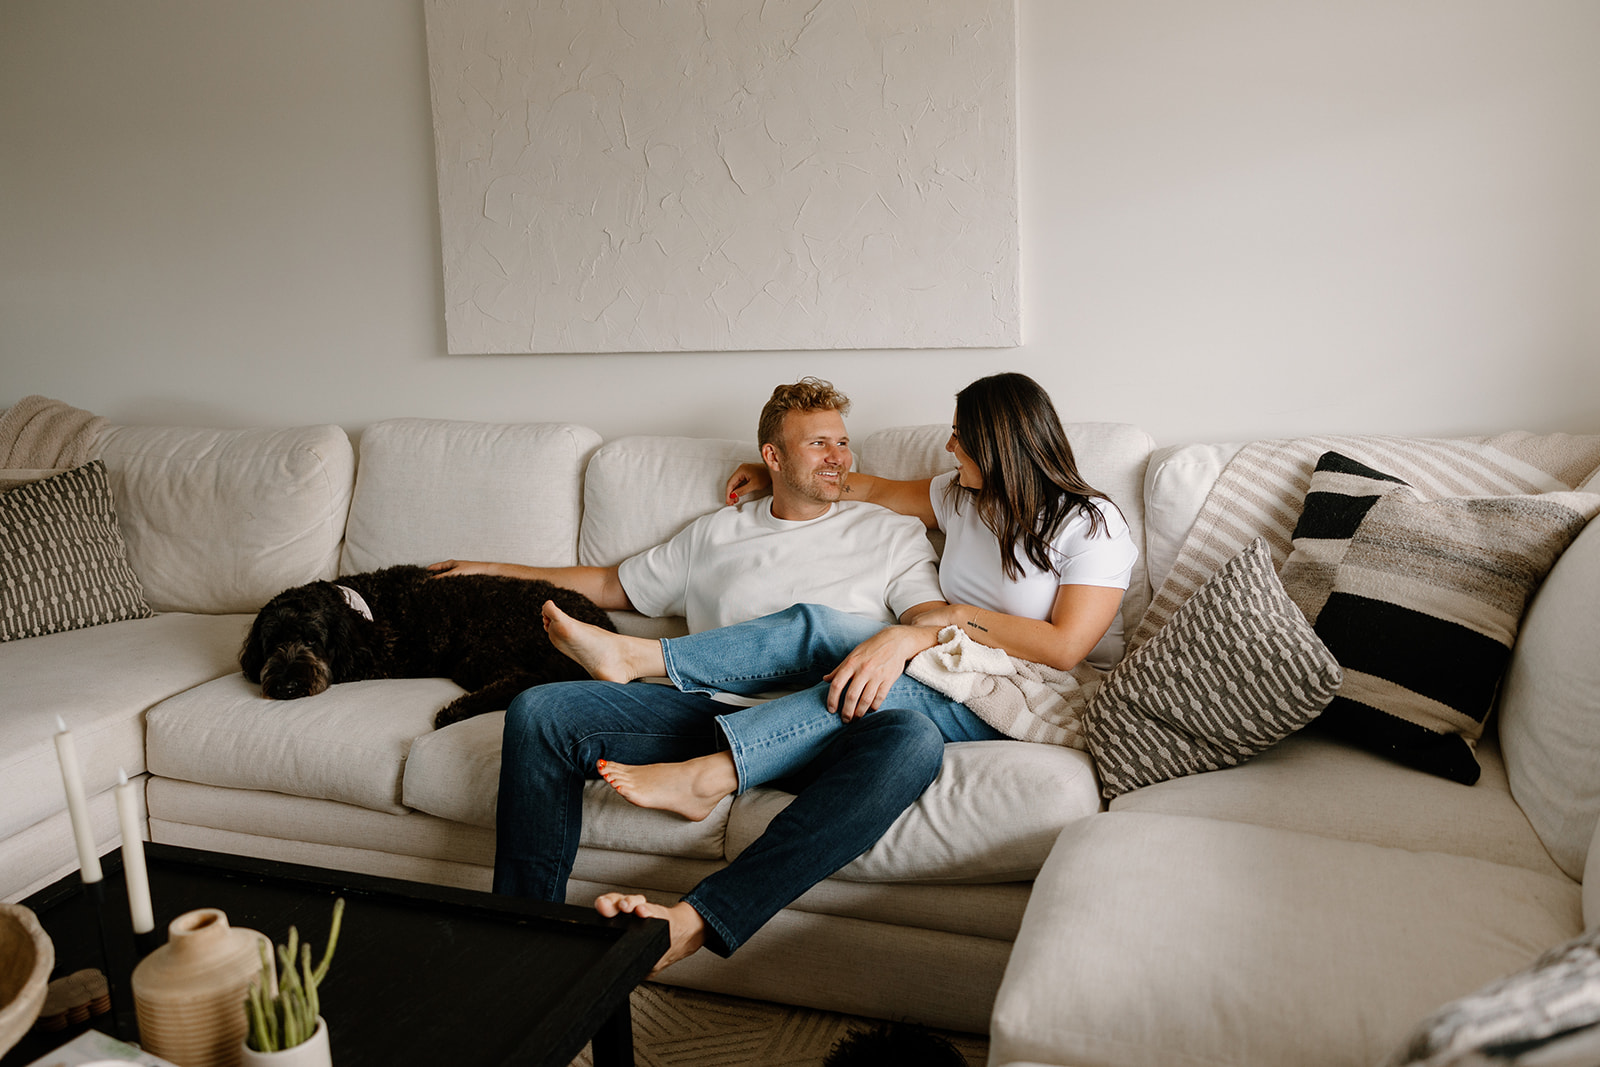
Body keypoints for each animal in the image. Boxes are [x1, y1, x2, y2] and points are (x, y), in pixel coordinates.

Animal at [240, 563, 614, 729]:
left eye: (311, 640)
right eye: (272, 643)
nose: (286, 687)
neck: (351, 611)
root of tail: (606, 624)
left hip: (481, 650)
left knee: (526, 680)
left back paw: (456, 711)